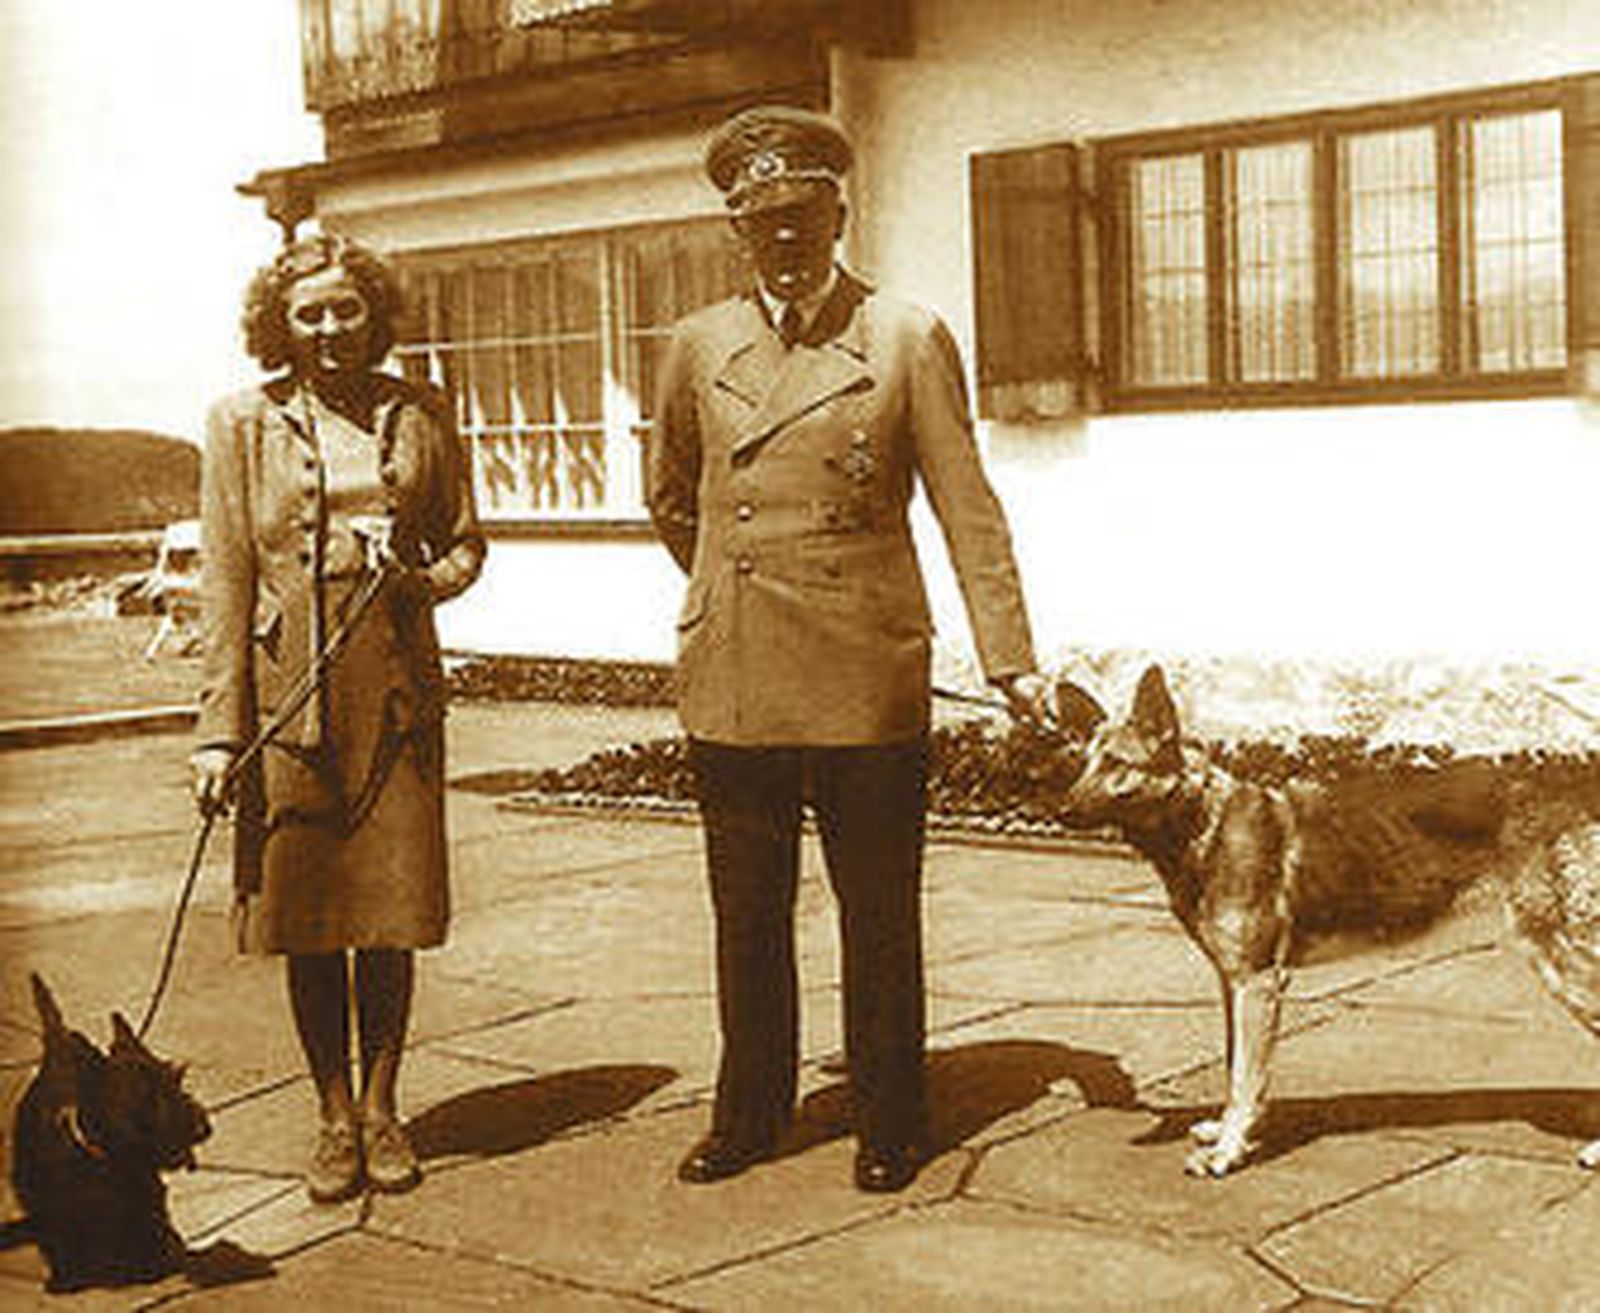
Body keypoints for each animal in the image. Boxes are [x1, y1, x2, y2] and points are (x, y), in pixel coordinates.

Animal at [8, 973, 212, 1293]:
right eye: (147, 1101)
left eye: (177, 1079)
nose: (204, 1127)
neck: (102, 1156)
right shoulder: (54, 1208)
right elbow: (61, 1240)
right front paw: (69, 1276)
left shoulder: (147, 1197)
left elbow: (150, 1228)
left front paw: (155, 1262)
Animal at [1054, 664, 1600, 1177]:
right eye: (1082, 763)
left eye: (1117, 763)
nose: (1059, 812)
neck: (1201, 823)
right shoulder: (1233, 984)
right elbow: (1233, 1067)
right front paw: (1229, 1133)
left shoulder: (1258, 983)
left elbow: (1246, 1078)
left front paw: (1229, 1152)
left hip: (1566, 970)